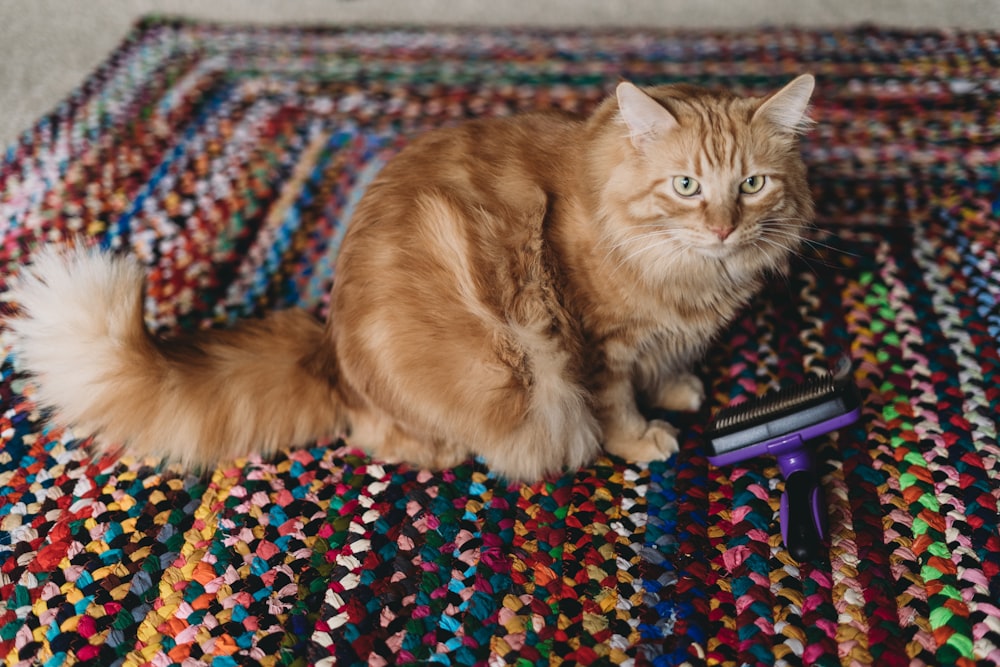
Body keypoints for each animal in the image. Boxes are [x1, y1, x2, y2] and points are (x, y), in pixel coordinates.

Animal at [5, 75, 812, 482]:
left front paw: (678, 387)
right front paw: (644, 436)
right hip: (488, 376)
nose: (723, 227)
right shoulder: (594, 343)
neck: (687, 271)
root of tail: (330, 353)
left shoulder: (665, 333)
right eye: (685, 185)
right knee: (379, 436)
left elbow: (668, 364)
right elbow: (614, 404)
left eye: (751, 186)